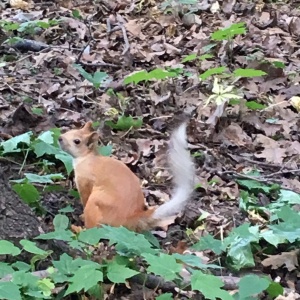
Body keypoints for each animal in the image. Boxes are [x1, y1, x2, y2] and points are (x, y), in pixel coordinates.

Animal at [59, 120, 195, 231]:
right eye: (71, 130)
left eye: (77, 141)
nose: (60, 138)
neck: (87, 158)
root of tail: (130, 218)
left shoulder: (85, 181)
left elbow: (85, 197)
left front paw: (81, 215)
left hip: (96, 203)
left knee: (93, 229)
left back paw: (78, 228)